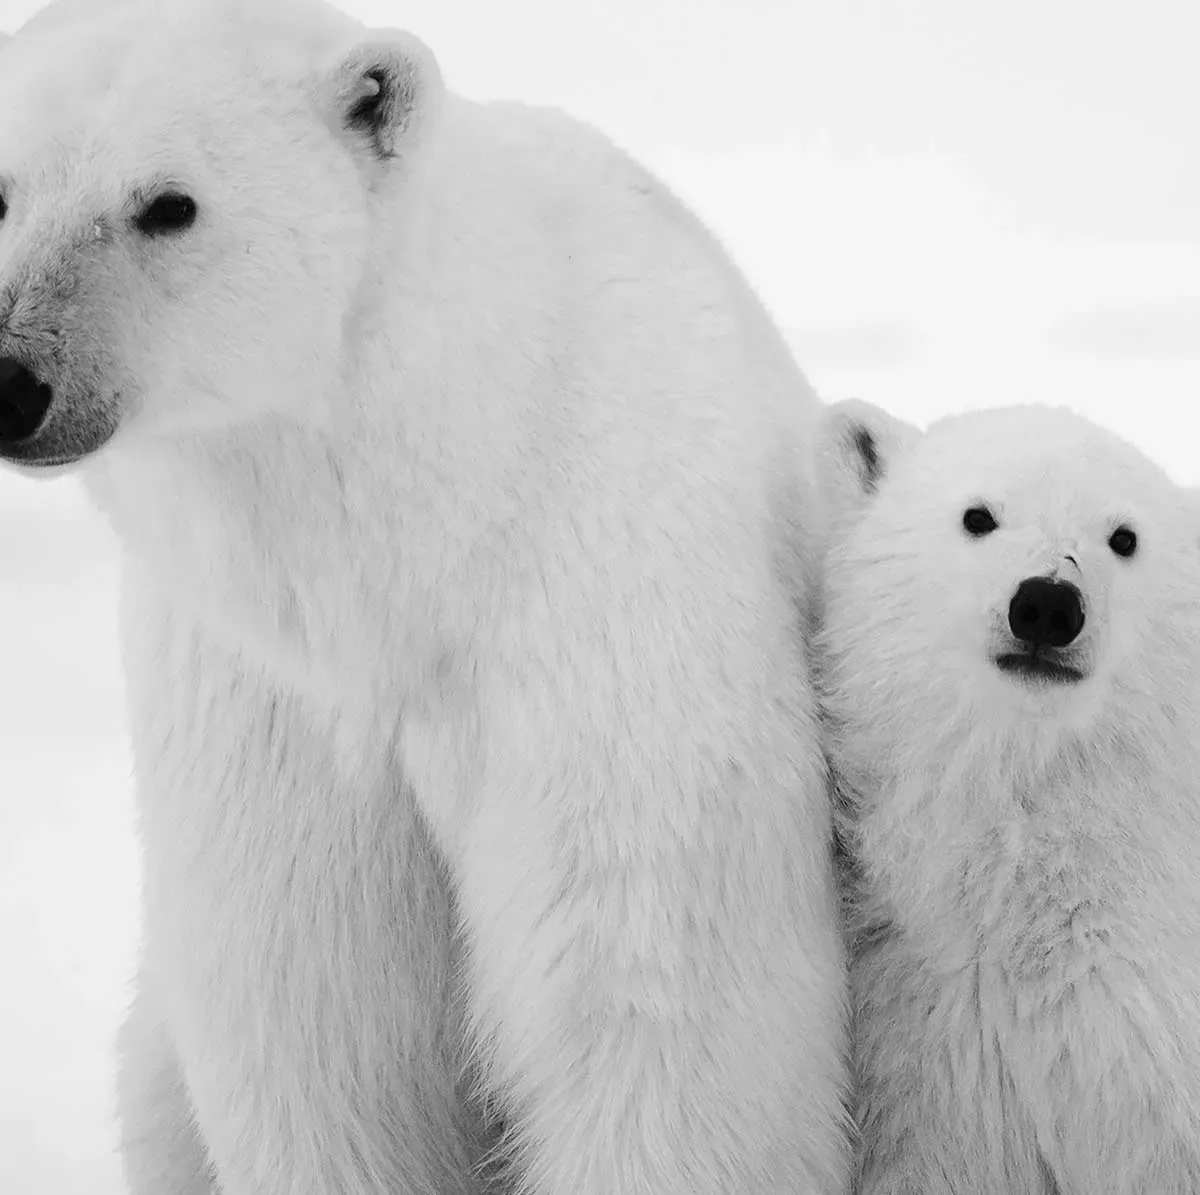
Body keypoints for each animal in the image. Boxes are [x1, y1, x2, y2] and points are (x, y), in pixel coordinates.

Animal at [0, 1, 849, 1193]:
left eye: (167, 203)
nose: (10, 379)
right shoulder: (267, 691)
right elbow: (319, 1008)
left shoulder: (612, 606)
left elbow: (655, 994)